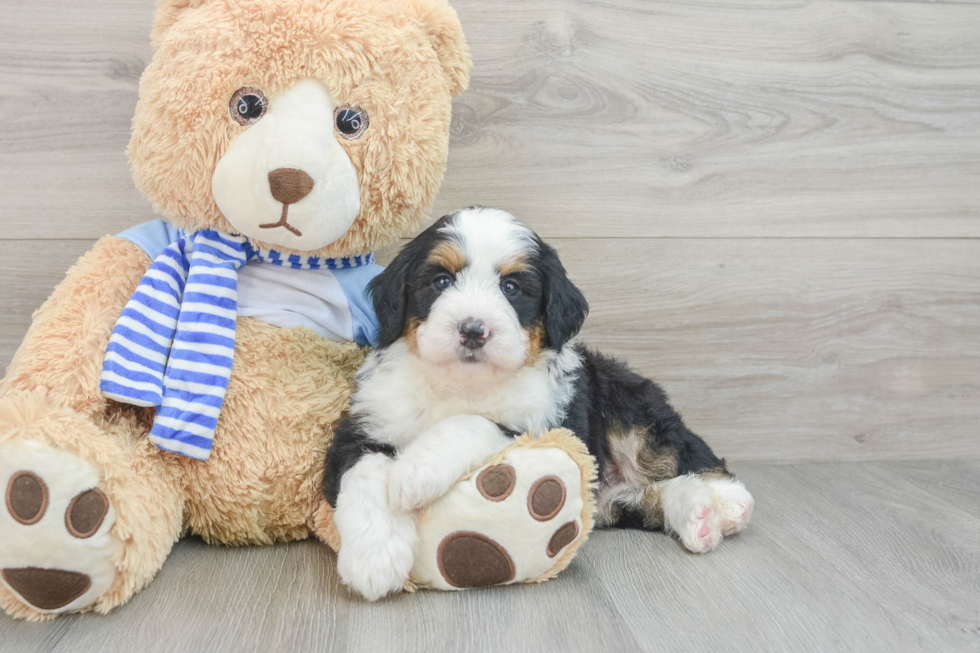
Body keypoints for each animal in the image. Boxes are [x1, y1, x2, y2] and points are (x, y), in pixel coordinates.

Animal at [326, 209, 756, 600]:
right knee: (648, 494)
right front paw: (374, 558)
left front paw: (415, 470)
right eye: (441, 280)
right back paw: (698, 514)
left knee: (687, 454)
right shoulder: (364, 423)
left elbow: (473, 423)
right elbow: (363, 474)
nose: (473, 330)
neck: (461, 383)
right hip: (607, 497)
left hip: (628, 405)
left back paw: (729, 503)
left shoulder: (543, 424)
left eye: (512, 287)